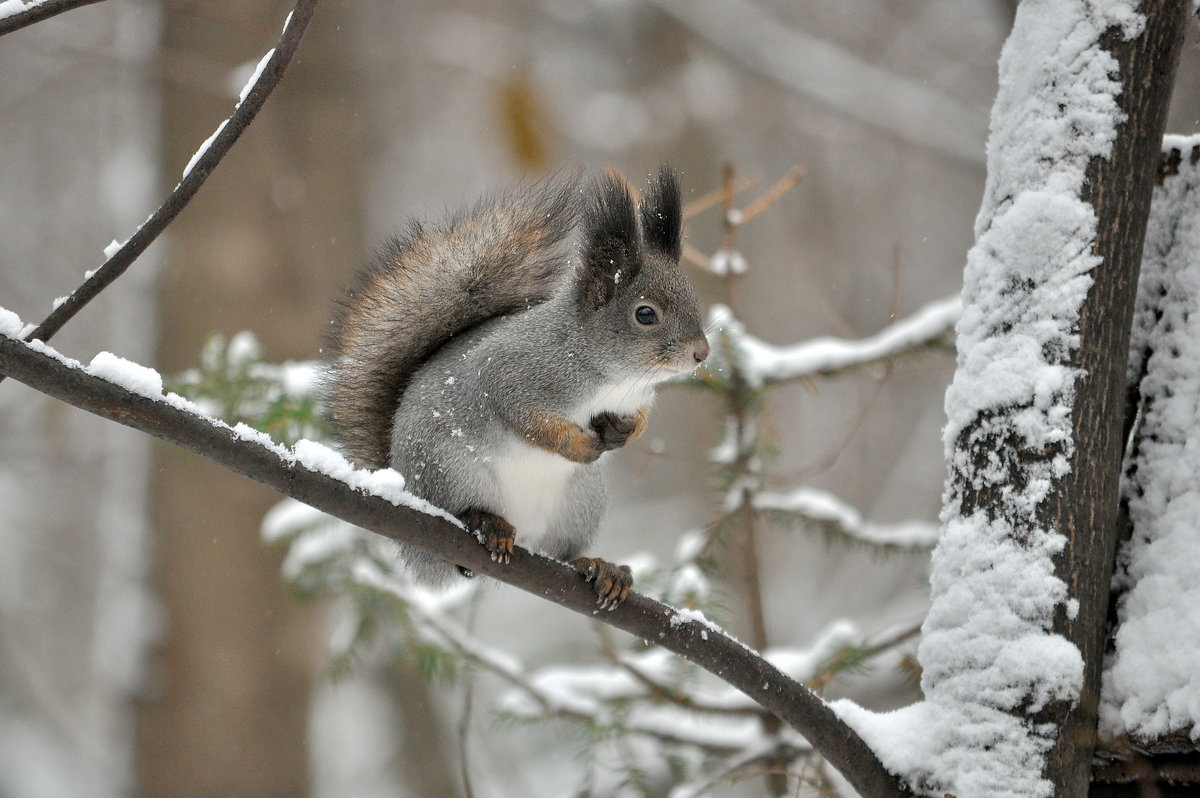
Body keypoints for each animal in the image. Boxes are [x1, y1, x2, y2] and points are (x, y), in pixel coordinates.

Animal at [324, 164, 705, 607]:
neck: (613, 376)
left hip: (580, 505)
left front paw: (624, 432)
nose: (702, 352)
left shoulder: (636, 398)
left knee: (562, 553)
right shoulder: (512, 376)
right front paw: (579, 445)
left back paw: (599, 567)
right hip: (450, 471)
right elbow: (529, 422)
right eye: (645, 314)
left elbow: (639, 419)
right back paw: (486, 523)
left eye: (693, 300)